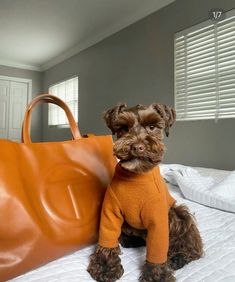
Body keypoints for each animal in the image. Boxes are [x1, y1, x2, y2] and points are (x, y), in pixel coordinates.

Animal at [87, 103, 203, 282]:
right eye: (124, 128)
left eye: (152, 126)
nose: (137, 147)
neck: (136, 177)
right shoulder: (110, 213)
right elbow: (107, 239)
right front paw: (105, 266)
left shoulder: (158, 219)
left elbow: (157, 249)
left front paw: (156, 276)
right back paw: (131, 240)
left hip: (179, 214)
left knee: (192, 244)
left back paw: (178, 257)